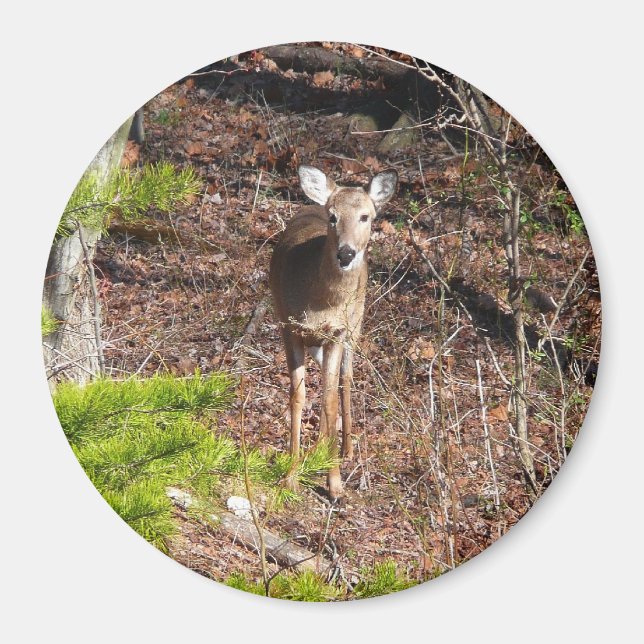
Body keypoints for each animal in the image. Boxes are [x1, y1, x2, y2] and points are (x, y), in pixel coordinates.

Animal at [269, 165, 398, 500]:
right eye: (333, 216)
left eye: (366, 216)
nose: (346, 253)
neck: (321, 303)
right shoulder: (289, 326)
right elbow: (298, 396)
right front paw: (290, 475)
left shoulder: (338, 332)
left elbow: (328, 400)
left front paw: (335, 483)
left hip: (356, 323)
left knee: (346, 379)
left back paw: (345, 449)